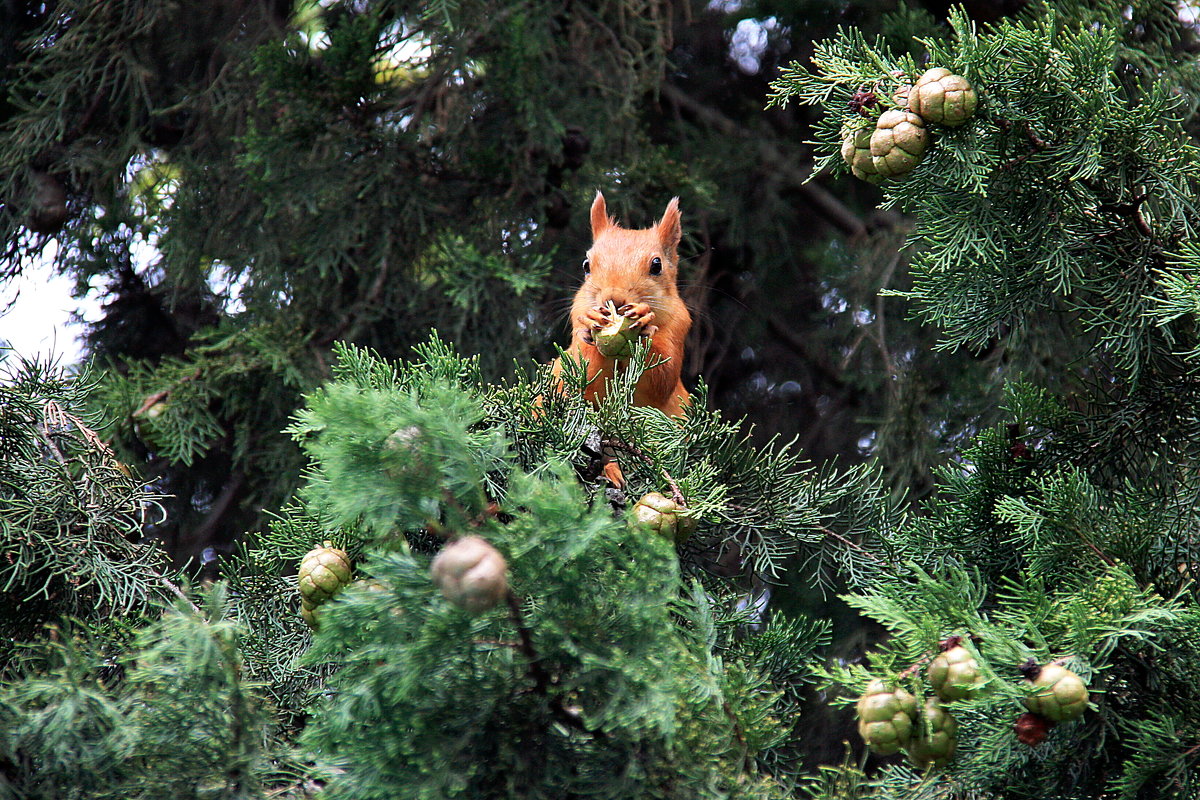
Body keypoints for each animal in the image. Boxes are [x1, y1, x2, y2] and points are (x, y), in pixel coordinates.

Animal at [549, 193, 691, 417]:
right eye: (586, 265)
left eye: (656, 265)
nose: (613, 299)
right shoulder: (577, 314)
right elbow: (586, 378)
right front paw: (591, 321)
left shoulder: (679, 324)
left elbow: (661, 380)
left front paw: (643, 322)